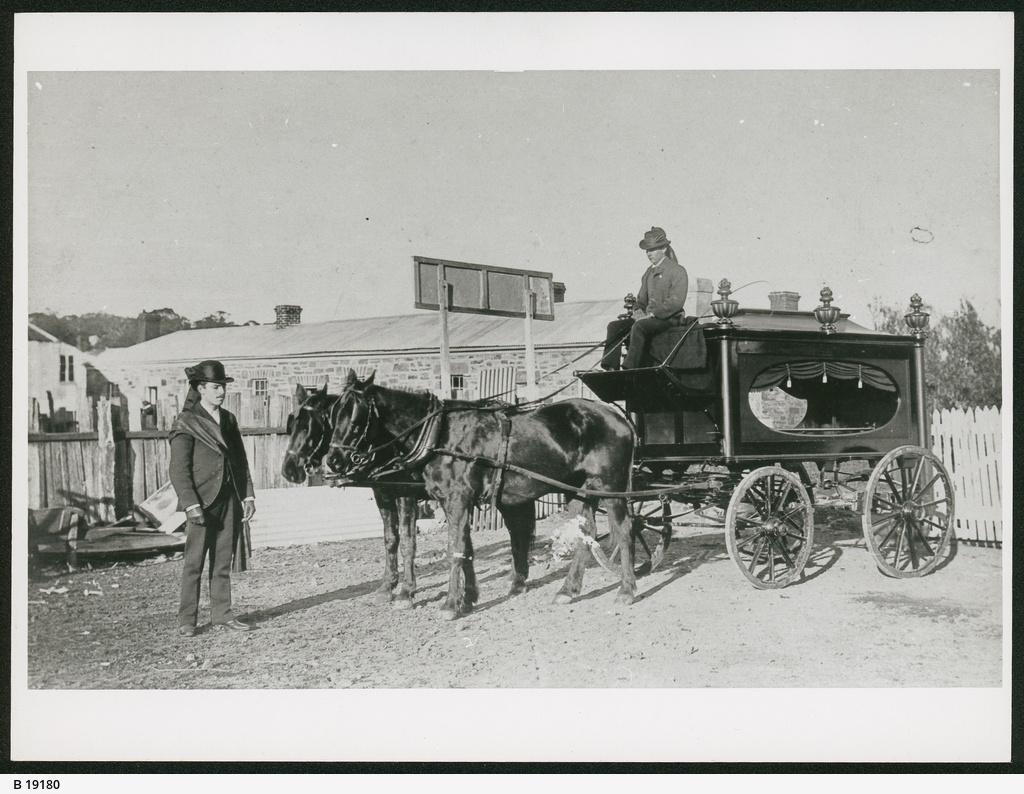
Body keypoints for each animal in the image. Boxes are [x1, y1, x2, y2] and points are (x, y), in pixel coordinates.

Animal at [280, 383, 423, 610]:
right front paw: (387, 586)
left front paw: (406, 591)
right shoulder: (383, 496)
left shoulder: (406, 495)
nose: (288, 470)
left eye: (308, 426)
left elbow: (408, 541)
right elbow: (390, 539)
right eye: (292, 424)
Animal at [323, 368, 634, 618]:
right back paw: (568, 590)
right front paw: (468, 597)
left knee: (624, 529)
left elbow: (453, 548)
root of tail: (616, 415)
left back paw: (627, 589)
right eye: (333, 414)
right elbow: (466, 548)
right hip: (577, 489)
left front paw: (449, 604)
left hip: (611, 485)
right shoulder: (459, 502)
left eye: (356, 416)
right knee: (587, 533)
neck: (440, 434)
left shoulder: (454, 499)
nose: (333, 461)